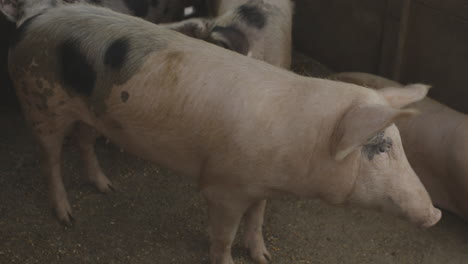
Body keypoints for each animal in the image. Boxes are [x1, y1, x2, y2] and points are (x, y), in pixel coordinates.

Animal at [0, 0, 438, 264]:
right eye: (380, 146)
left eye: (396, 143)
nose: (434, 215)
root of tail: (33, 21)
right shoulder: (224, 187)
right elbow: (223, 235)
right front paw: (229, 257)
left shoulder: (262, 187)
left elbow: (257, 219)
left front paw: (263, 256)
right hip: (39, 103)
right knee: (50, 160)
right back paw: (67, 218)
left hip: (93, 113)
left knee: (85, 142)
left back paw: (106, 188)